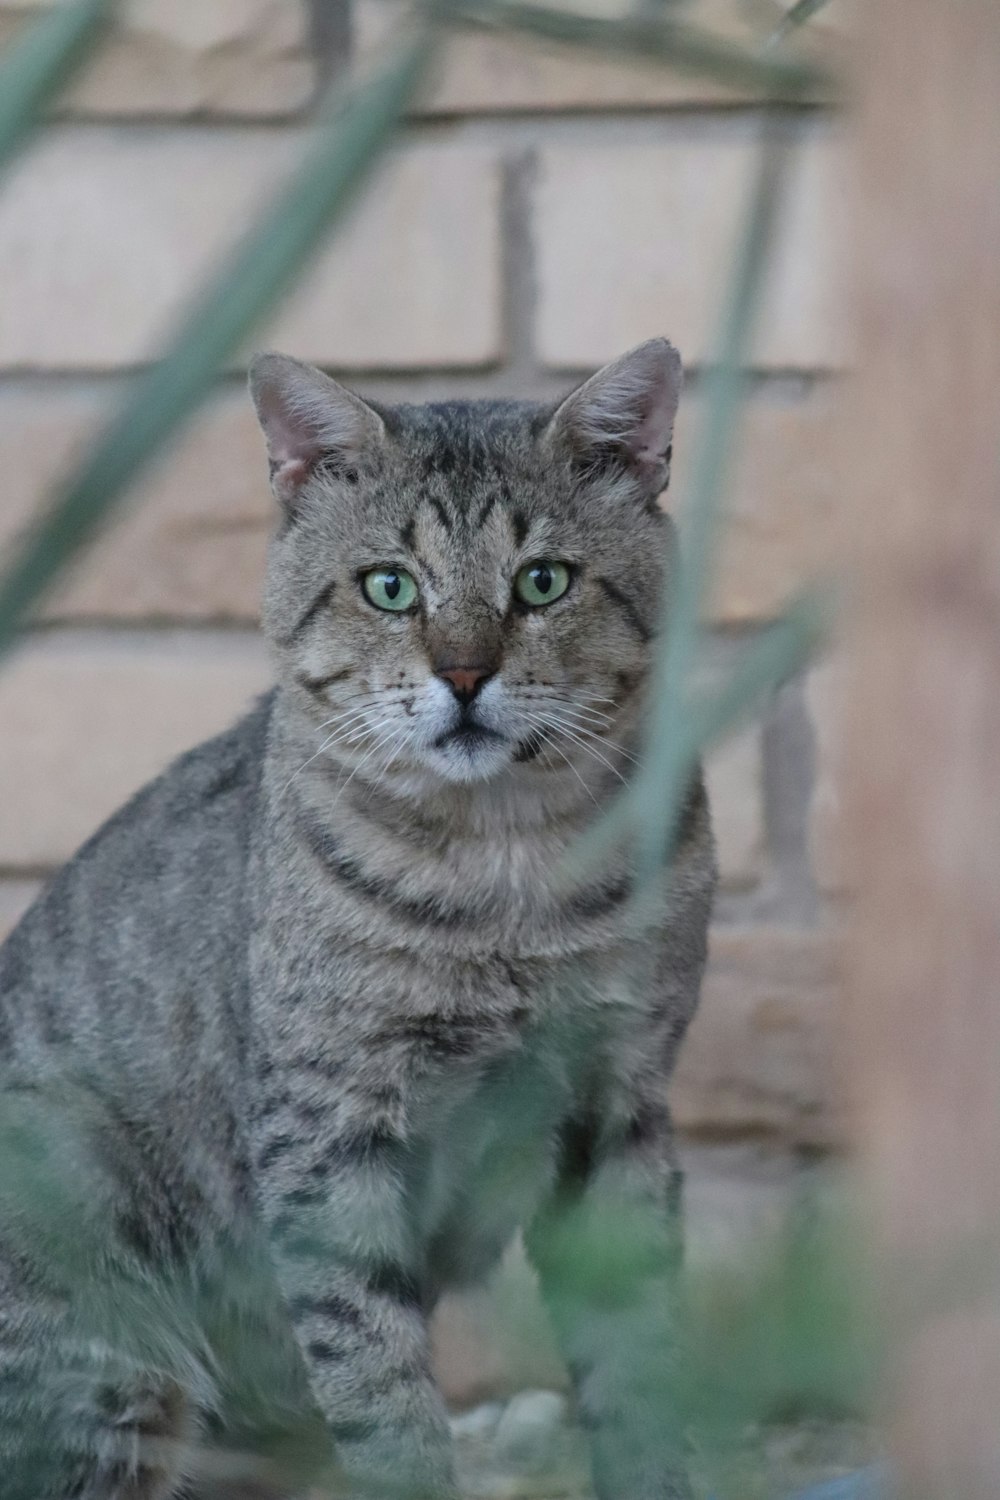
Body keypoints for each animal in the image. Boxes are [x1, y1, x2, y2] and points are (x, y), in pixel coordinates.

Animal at [0, 340, 719, 1500]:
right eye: (391, 586)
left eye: (543, 581)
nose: (464, 674)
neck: (506, 875)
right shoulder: (328, 1130)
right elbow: (380, 1383)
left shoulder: (621, 1099)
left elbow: (640, 1356)